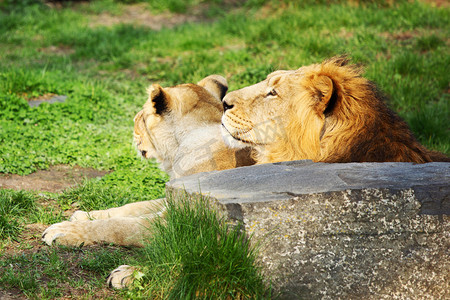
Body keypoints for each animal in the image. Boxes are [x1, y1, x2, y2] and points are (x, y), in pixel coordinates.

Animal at [42, 74, 255, 288]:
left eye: (140, 118)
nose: (132, 127)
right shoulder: (172, 198)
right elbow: (131, 207)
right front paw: (84, 215)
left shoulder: (181, 219)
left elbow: (119, 226)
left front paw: (63, 231)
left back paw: (127, 274)